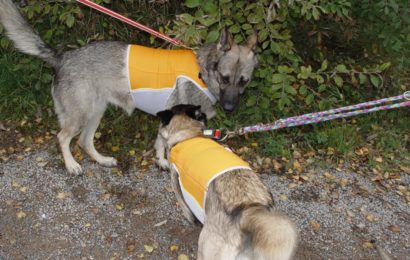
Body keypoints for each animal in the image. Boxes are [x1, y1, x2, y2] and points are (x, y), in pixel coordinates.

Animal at [0, 1, 256, 175]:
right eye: (224, 78)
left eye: (243, 81)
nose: (230, 108)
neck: (204, 72)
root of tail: (62, 57)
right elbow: (165, 144)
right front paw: (166, 161)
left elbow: (159, 143)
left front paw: (161, 161)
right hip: (82, 114)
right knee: (63, 137)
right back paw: (71, 164)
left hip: (96, 112)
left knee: (84, 141)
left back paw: (102, 160)